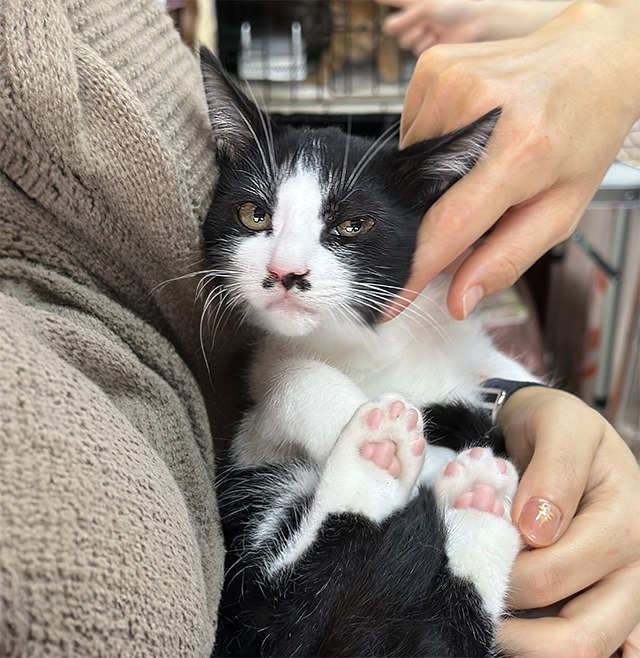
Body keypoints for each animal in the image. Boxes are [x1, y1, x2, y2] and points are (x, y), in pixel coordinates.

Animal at [199, 50, 536, 656]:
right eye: (253, 215)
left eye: (353, 225)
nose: (286, 272)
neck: (377, 349)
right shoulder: (252, 443)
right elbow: (284, 371)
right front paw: (350, 417)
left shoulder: (478, 362)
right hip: (256, 511)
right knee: (282, 615)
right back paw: (383, 454)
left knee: (440, 631)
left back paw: (474, 501)